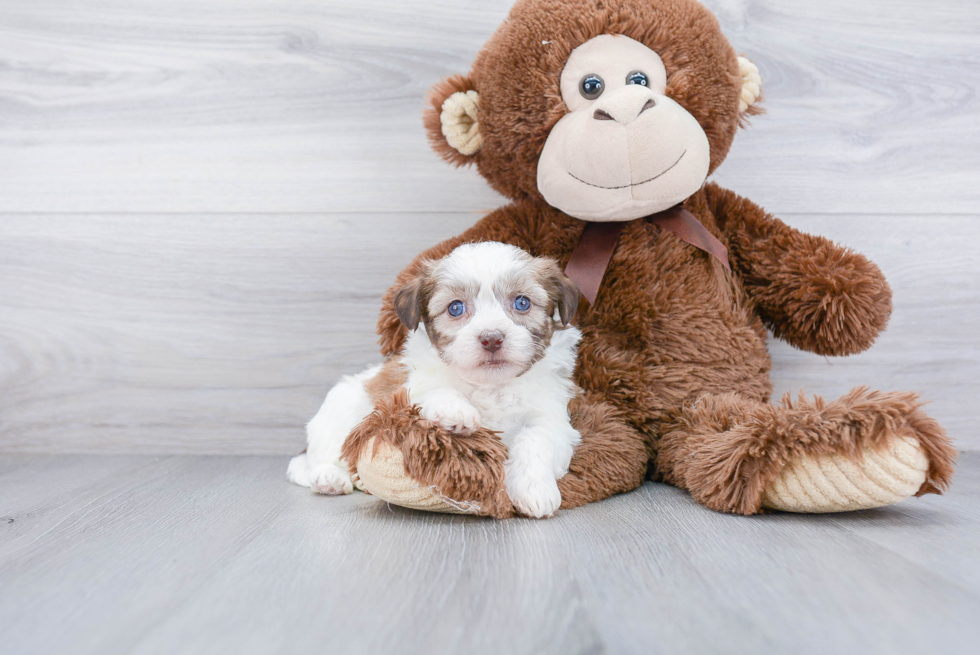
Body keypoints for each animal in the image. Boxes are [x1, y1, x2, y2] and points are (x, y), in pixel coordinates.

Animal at [290, 243, 580, 520]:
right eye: (456, 308)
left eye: (522, 303)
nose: (491, 338)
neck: (490, 386)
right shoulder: (408, 393)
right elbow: (435, 390)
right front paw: (455, 411)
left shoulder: (552, 419)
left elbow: (536, 438)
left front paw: (534, 491)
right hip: (338, 416)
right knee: (323, 456)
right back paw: (329, 477)